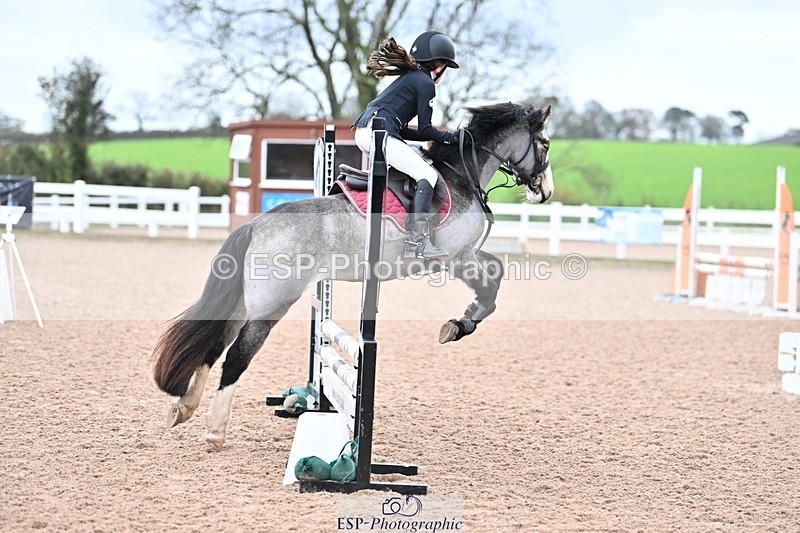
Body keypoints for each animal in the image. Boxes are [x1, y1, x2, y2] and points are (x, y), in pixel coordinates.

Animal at [152, 102, 554, 451]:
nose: (546, 192)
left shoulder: (464, 255)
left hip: (245, 303)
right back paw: (215, 431)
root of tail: (256, 225)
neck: (462, 179)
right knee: (236, 356)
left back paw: (183, 409)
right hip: (272, 305)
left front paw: (460, 323)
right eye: (546, 143)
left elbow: (495, 272)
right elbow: (492, 281)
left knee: (215, 346)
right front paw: (459, 325)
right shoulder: (455, 257)